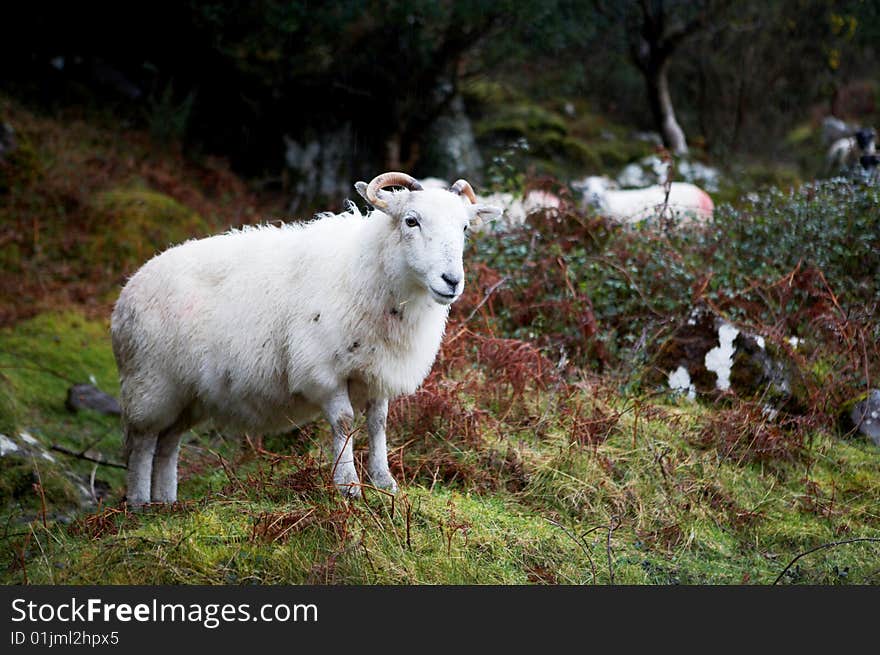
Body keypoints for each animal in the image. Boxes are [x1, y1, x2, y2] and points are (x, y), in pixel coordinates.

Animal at [110, 172, 502, 504]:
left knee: (168, 443)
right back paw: (140, 504)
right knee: (143, 443)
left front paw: (384, 482)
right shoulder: (324, 370)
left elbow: (378, 424)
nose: (452, 281)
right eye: (411, 221)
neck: (370, 271)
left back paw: (166, 504)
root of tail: (129, 287)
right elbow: (344, 423)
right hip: (150, 383)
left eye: (464, 227)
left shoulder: (377, 370)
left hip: (185, 394)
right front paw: (348, 486)